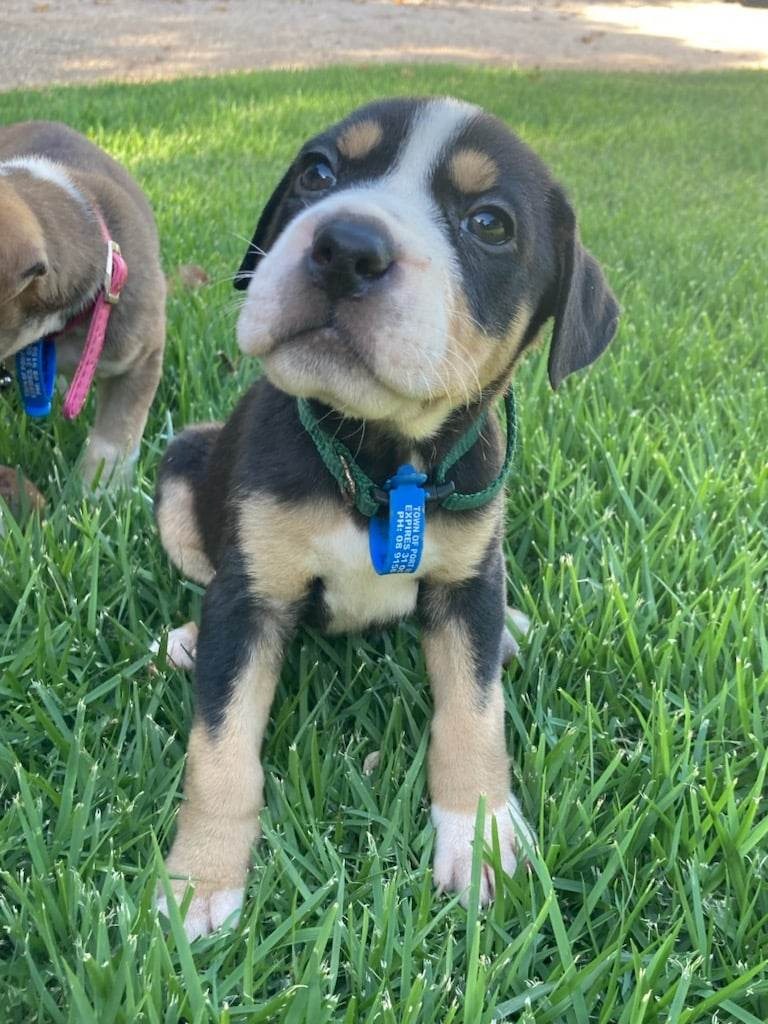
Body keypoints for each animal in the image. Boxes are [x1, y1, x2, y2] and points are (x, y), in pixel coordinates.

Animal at [154, 96, 619, 939]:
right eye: (318, 173)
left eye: (490, 223)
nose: (346, 248)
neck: (376, 458)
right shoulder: (253, 590)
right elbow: (221, 751)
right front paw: (199, 880)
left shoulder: (468, 573)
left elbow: (473, 716)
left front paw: (480, 834)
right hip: (182, 466)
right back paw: (189, 638)